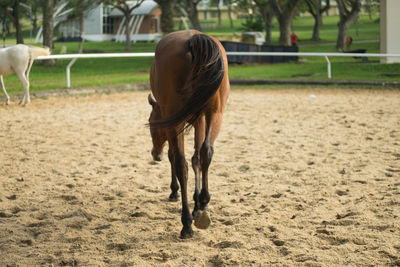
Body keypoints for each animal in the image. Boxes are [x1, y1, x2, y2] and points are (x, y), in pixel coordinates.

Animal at [148, 29, 230, 239]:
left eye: (151, 124)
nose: (155, 154)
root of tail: (194, 39)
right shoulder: (200, 117)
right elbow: (197, 158)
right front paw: (198, 203)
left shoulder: (172, 121)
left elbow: (176, 157)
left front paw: (175, 192)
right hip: (215, 113)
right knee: (206, 152)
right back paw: (203, 206)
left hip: (177, 119)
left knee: (180, 164)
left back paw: (186, 223)